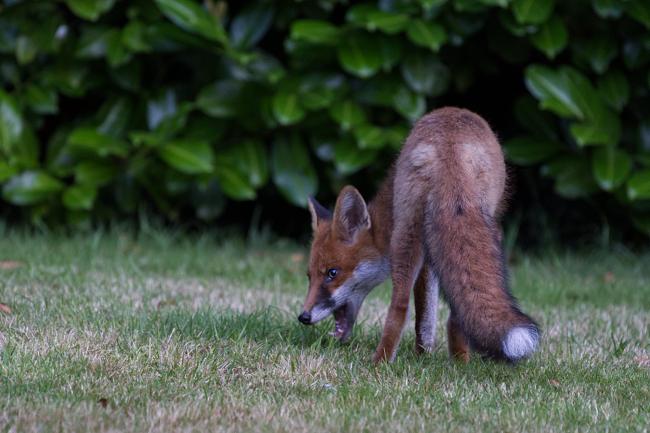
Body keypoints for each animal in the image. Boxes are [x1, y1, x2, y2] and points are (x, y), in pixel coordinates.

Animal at [298, 107, 540, 363]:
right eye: (309, 276)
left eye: (332, 273)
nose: (303, 317)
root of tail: (449, 146)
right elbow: (426, 314)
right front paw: (425, 355)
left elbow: (424, 317)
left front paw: (423, 355)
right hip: (452, 229)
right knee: (405, 305)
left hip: (415, 232)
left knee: (410, 305)